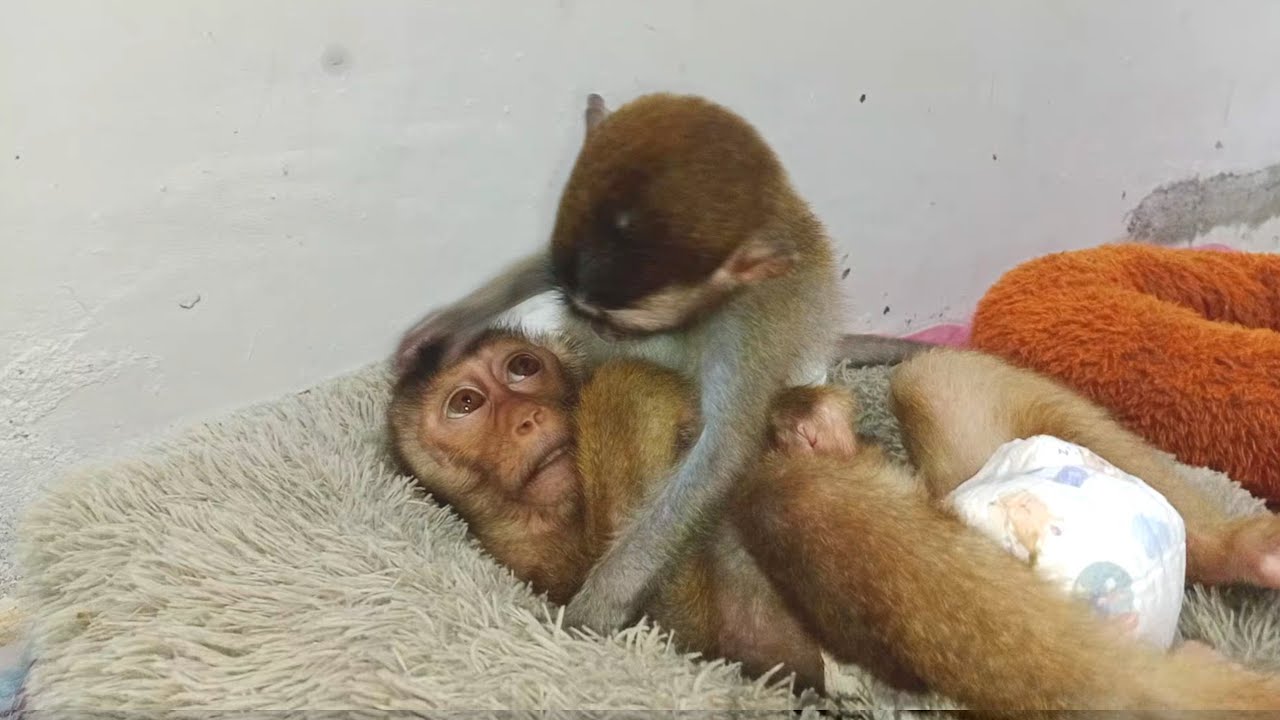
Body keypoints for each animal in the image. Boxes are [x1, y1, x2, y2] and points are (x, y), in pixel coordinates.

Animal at [388, 329, 1280, 715]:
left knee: (932, 377)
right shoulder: (528, 563)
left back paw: (1235, 549)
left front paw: (807, 416)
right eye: (465, 405)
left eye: (521, 368)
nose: (528, 417)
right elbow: (661, 619)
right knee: (795, 502)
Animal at [393, 92, 933, 632]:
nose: (597, 327)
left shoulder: (747, 324)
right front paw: (454, 322)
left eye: (622, 320)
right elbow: (545, 265)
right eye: (580, 305)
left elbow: (723, 453)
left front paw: (606, 596)